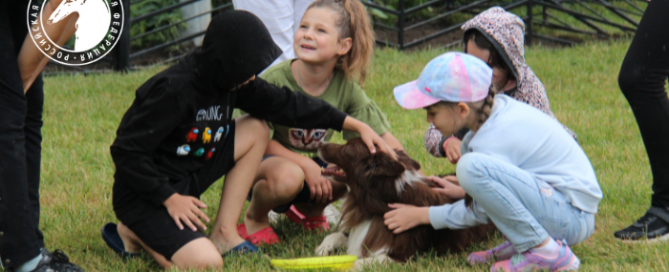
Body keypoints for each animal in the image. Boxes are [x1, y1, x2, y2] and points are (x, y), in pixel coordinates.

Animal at [316, 139, 494, 268]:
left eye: (347, 147)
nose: (319, 144)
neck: (380, 203)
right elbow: (337, 235)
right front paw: (323, 249)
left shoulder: (401, 256)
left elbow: (355, 262)